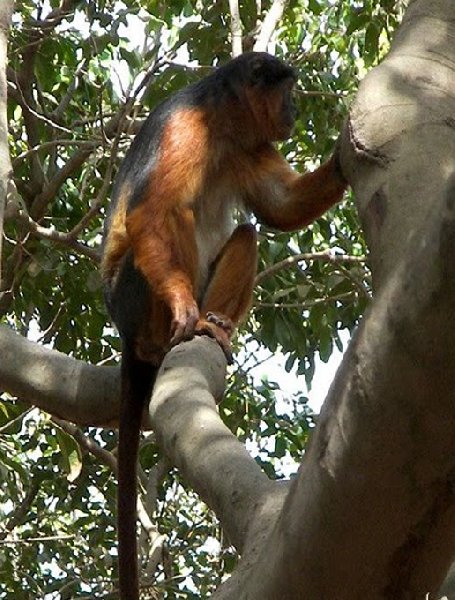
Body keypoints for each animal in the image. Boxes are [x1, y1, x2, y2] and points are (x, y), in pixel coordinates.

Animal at [101, 52, 348, 600]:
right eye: (287, 91)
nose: (295, 108)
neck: (223, 124)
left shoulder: (249, 146)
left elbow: (278, 207)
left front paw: (346, 155)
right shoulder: (185, 127)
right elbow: (152, 211)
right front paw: (183, 309)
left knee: (247, 231)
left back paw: (216, 321)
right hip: (131, 299)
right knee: (177, 213)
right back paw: (177, 330)